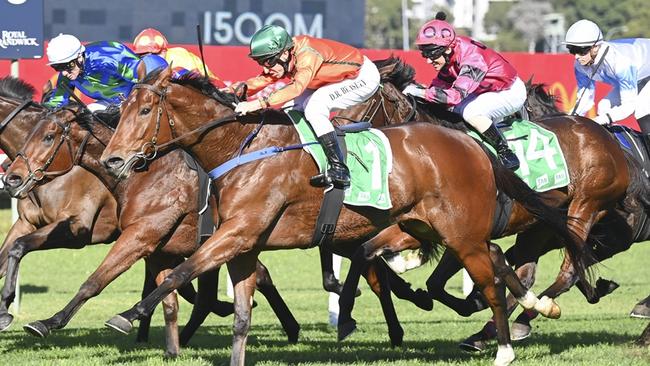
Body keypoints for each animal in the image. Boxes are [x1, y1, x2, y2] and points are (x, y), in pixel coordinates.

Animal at [1, 101, 296, 356]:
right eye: (31, 135)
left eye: (49, 137)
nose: (12, 178)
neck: (142, 175)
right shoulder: (157, 248)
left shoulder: (121, 233)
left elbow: (94, 281)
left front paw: (47, 321)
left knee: (224, 289)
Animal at [96, 67, 588, 364]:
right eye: (120, 110)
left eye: (145, 110)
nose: (112, 161)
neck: (240, 147)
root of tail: (473, 144)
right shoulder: (244, 243)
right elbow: (239, 315)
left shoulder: (238, 232)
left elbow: (181, 272)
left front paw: (127, 314)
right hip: (430, 226)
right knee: (499, 264)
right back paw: (536, 306)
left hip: (461, 234)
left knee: (489, 281)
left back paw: (504, 347)